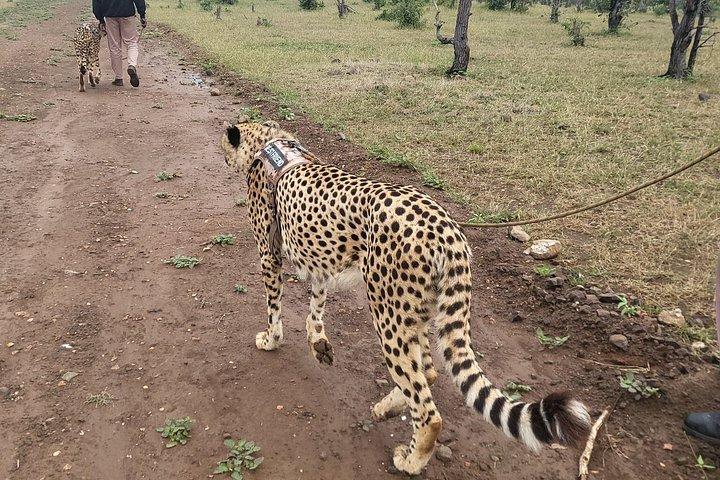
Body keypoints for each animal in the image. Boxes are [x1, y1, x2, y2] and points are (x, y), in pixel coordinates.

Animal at [220, 119, 591, 475]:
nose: (223, 156)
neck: (268, 142)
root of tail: (446, 227)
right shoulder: (319, 260)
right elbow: (317, 302)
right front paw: (317, 341)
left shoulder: (269, 255)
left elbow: (274, 307)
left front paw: (271, 339)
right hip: (413, 310)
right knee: (427, 372)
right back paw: (388, 407)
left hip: (389, 315)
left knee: (428, 409)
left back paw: (411, 459)